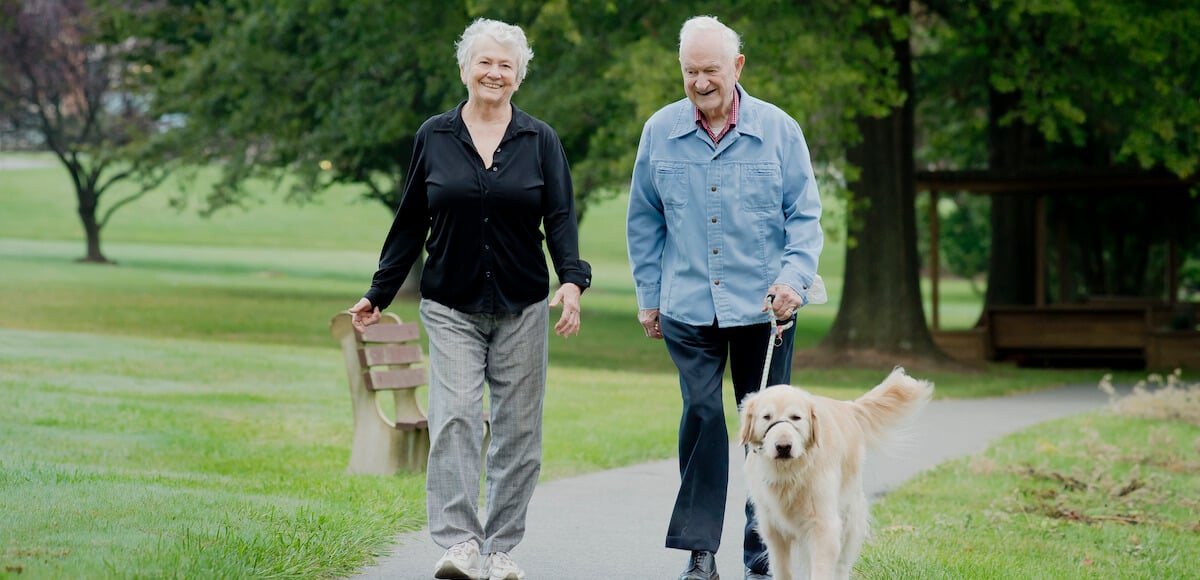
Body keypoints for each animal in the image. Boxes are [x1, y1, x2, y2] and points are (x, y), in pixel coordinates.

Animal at [734, 367, 931, 580]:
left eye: (796, 417)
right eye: (767, 417)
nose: (783, 447)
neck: (791, 472)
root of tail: (848, 406)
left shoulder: (824, 526)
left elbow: (823, 567)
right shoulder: (773, 530)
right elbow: (782, 569)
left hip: (850, 517)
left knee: (842, 564)